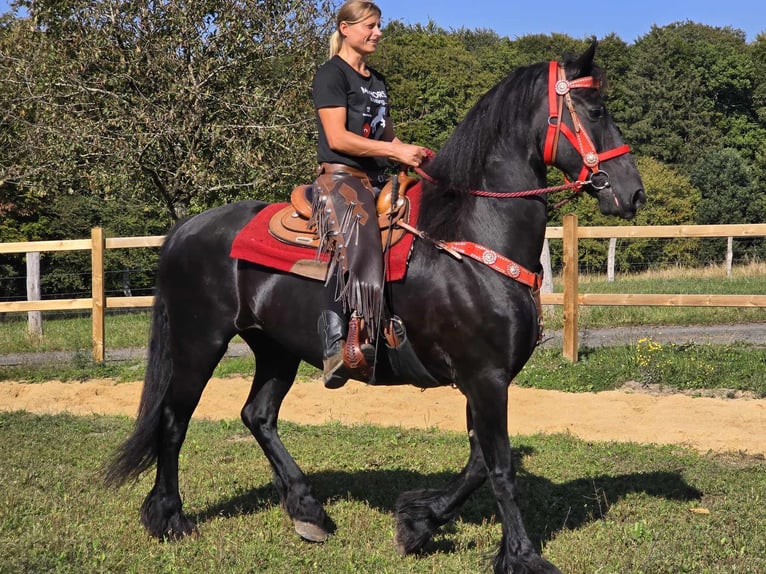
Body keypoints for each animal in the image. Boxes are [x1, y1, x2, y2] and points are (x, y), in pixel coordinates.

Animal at [106, 42, 648, 572]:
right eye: (596, 110)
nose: (634, 193)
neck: (467, 237)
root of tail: (186, 229)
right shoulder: (486, 377)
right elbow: (498, 467)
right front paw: (521, 555)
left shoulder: (482, 380)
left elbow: (477, 462)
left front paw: (417, 522)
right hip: (199, 342)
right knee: (174, 420)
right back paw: (169, 518)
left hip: (275, 350)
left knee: (257, 415)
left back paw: (307, 510)